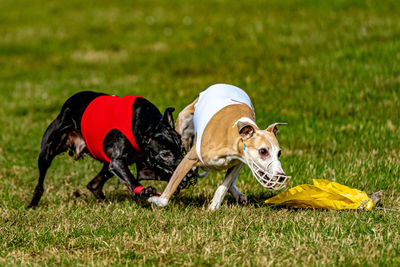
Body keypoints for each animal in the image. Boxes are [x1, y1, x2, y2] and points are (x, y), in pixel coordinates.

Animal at [27, 91, 195, 208]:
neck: (147, 122)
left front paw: (181, 180)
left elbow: (152, 172)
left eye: (182, 149)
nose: (188, 172)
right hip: (48, 150)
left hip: (106, 165)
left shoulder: (143, 167)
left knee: (93, 184)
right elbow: (131, 178)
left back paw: (104, 201)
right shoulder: (117, 162)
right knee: (41, 179)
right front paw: (143, 191)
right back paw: (33, 203)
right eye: (164, 154)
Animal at [148, 85, 290, 210]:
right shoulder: (189, 160)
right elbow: (166, 195)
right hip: (184, 125)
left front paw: (213, 207)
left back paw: (238, 195)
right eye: (263, 151)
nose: (282, 176)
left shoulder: (238, 162)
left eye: (279, 153)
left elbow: (224, 185)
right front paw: (154, 199)